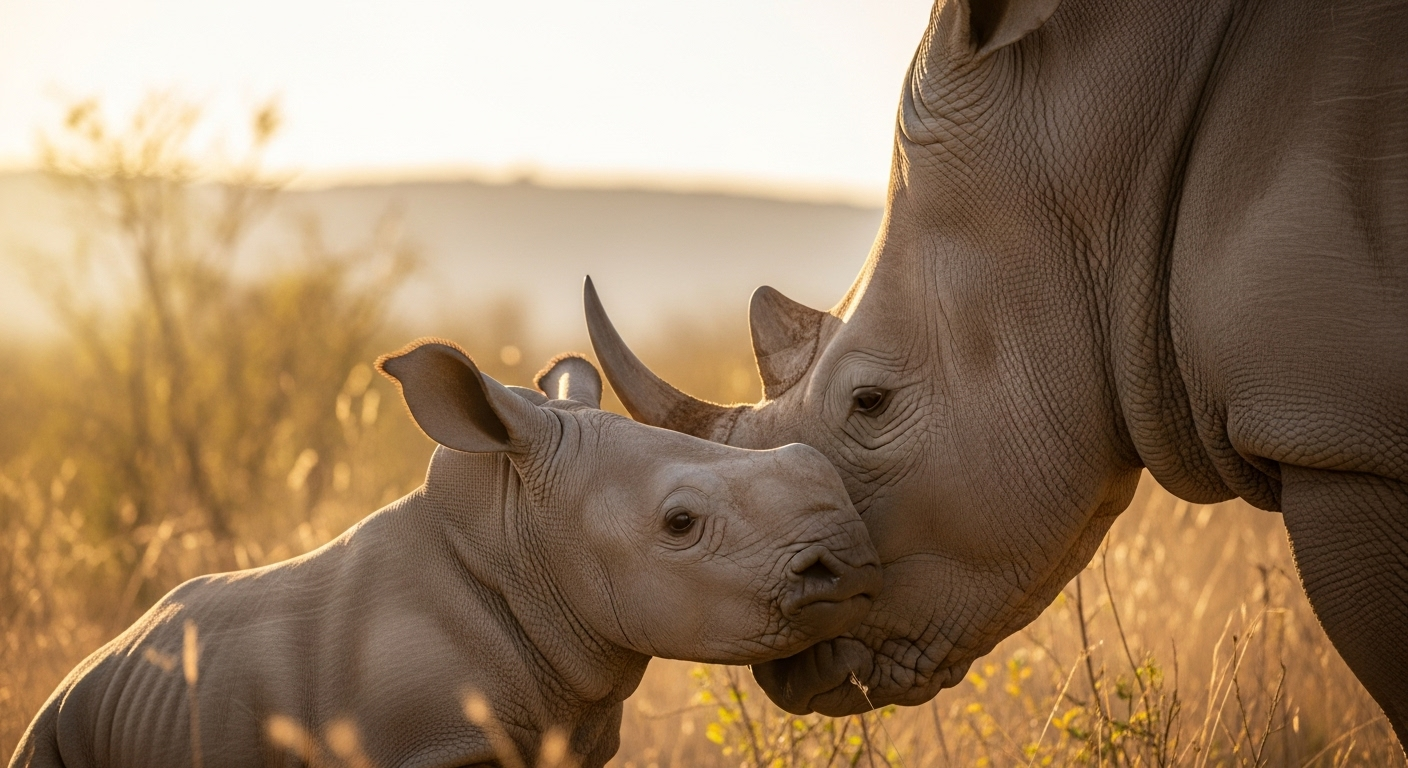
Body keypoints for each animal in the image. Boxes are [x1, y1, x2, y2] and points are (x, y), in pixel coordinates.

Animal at [10, 342, 882, 768]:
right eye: (679, 523)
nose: (852, 568)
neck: (518, 545)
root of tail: (88, 667)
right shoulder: (427, 744)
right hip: (58, 732)